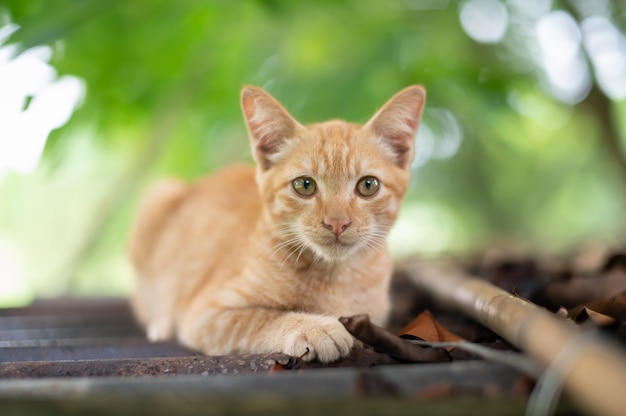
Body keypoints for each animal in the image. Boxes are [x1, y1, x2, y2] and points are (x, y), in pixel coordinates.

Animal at [128, 83, 424, 360]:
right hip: (158, 196)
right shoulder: (206, 312)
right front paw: (314, 327)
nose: (336, 223)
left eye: (368, 185)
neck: (335, 278)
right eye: (305, 185)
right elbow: (260, 318)